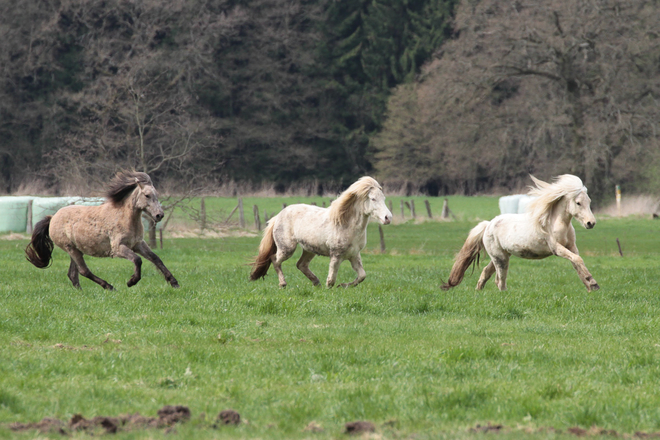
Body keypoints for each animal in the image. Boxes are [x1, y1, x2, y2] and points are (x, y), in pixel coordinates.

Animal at [25, 170, 178, 290]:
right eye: (147, 195)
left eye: (156, 194)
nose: (159, 215)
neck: (124, 217)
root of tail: (52, 218)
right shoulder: (118, 248)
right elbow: (137, 259)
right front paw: (131, 282)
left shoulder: (138, 244)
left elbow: (156, 258)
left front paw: (174, 282)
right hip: (71, 249)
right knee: (83, 271)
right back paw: (109, 286)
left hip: (75, 250)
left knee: (73, 274)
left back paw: (82, 291)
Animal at [249, 175, 392, 288]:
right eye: (373, 199)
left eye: (384, 198)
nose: (388, 218)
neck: (346, 225)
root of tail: (277, 217)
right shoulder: (336, 255)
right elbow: (332, 279)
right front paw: (331, 289)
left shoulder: (354, 254)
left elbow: (362, 275)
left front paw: (343, 285)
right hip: (287, 248)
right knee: (275, 260)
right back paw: (283, 284)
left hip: (309, 249)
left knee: (301, 264)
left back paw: (316, 283)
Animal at [440, 174, 600, 292]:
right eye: (578, 203)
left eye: (589, 201)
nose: (590, 223)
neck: (555, 223)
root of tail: (488, 225)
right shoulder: (557, 248)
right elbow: (578, 260)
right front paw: (593, 283)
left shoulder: (571, 247)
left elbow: (577, 262)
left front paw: (591, 285)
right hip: (500, 258)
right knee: (500, 280)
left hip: (500, 256)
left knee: (486, 272)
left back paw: (478, 292)